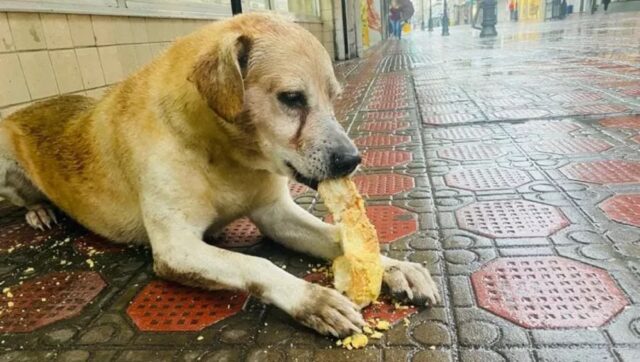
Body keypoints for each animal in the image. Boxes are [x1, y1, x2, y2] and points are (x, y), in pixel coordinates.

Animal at [0, 12, 438, 338]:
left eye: (335, 97)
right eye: (291, 98)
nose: (352, 160)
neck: (227, 157)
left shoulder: (276, 214)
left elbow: (337, 235)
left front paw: (393, 266)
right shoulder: (176, 248)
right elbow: (257, 265)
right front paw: (312, 300)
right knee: (23, 200)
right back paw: (39, 211)